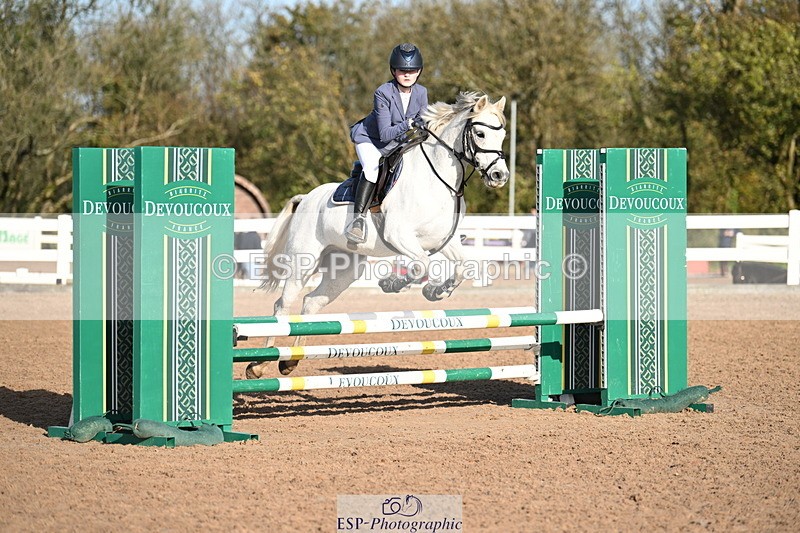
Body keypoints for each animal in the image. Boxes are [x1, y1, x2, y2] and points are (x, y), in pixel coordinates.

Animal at [246, 91, 510, 378]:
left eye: (503, 135)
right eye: (481, 134)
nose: (500, 176)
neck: (438, 180)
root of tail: (305, 198)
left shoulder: (443, 240)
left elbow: (462, 268)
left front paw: (437, 292)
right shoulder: (399, 236)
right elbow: (422, 265)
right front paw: (394, 283)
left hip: (345, 269)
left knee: (311, 302)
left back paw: (290, 361)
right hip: (302, 261)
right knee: (283, 305)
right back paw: (258, 365)